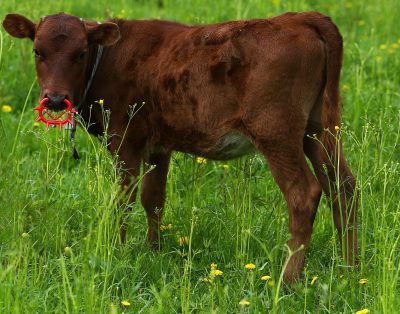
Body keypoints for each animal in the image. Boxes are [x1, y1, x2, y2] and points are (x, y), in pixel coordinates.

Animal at [3, 11, 358, 282]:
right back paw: (349, 269)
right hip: (319, 130)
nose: (55, 98)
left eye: (80, 53)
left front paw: (116, 252)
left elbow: (123, 201)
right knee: (344, 186)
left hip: (276, 132)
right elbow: (153, 199)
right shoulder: (158, 145)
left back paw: (288, 280)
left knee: (304, 194)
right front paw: (154, 252)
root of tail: (301, 17)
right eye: (37, 51)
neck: (110, 60)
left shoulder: (125, 140)